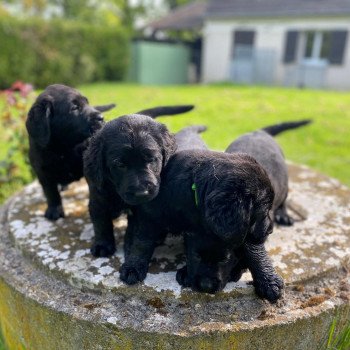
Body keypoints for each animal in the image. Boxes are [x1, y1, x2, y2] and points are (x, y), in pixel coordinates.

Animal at [26, 83, 193, 220]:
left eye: (87, 103)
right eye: (74, 108)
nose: (101, 117)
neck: (65, 148)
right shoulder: (42, 171)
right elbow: (50, 192)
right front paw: (54, 210)